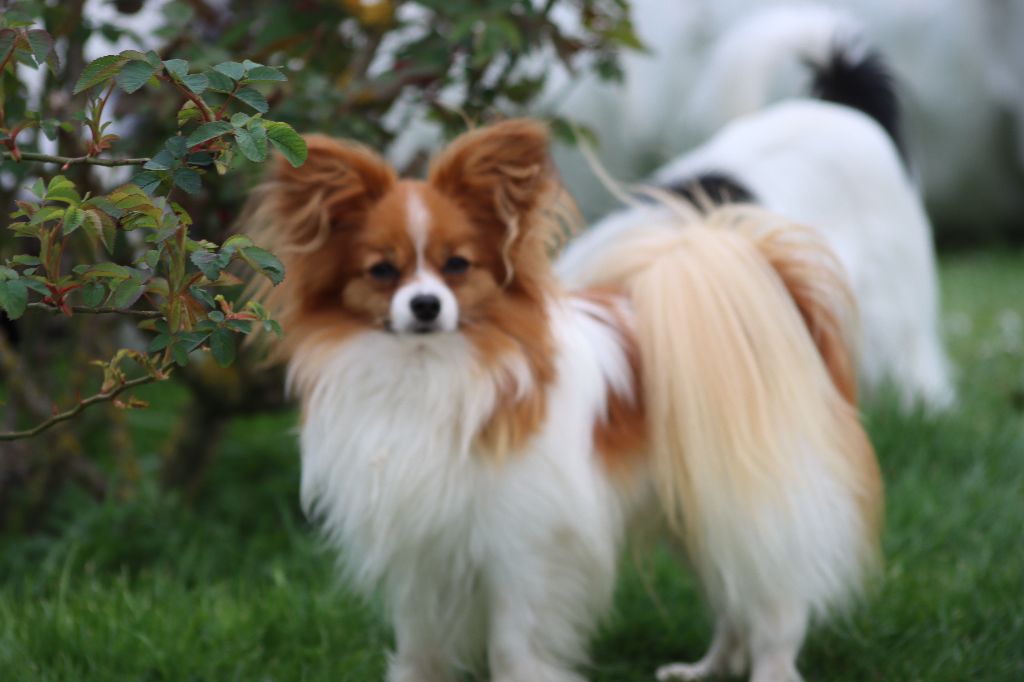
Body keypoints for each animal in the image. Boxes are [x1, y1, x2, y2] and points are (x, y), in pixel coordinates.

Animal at [245, 118, 880, 679]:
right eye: (382, 271)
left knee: (773, 606)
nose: (425, 305)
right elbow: (419, 648)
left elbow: (510, 648)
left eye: (457, 266)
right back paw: (706, 669)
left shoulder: (524, 547)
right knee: (731, 599)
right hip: (698, 511)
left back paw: (767, 668)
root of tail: (780, 306)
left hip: (748, 504)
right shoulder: (419, 549)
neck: (427, 373)